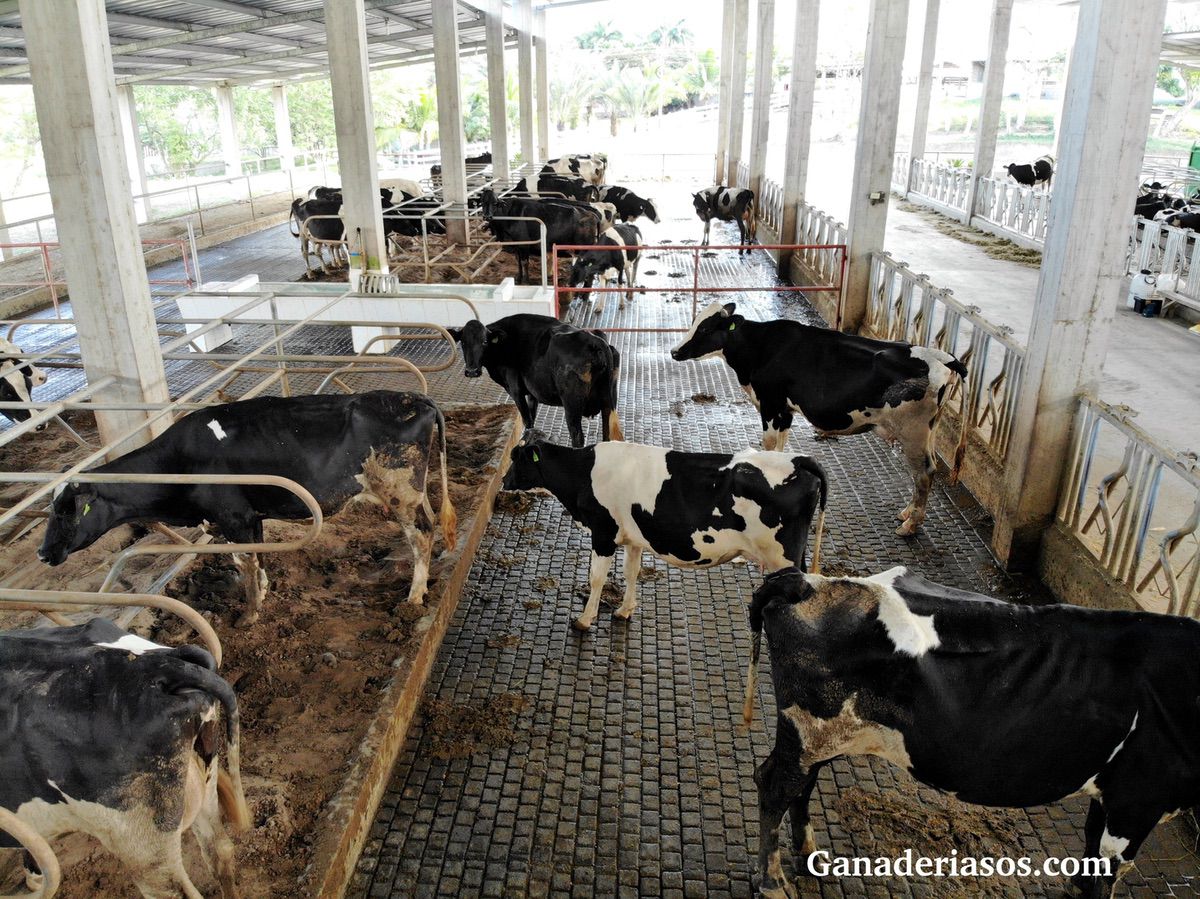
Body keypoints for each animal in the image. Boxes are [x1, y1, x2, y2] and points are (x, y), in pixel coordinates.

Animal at [41, 388, 453, 628]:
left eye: (66, 510)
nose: (43, 554)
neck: (179, 461)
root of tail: (413, 398)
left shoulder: (233, 519)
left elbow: (245, 564)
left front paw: (250, 614)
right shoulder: (251, 517)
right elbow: (259, 557)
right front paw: (266, 592)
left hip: (399, 491)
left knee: (421, 534)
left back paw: (414, 597)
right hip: (415, 492)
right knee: (432, 523)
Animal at [446, 314, 624, 446]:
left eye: (484, 342)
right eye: (463, 342)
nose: (472, 371)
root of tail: (594, 339)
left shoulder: (516, 390)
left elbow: (528, 420)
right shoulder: (533, 393)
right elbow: (532, 416)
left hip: (572, 403)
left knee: (577, 436)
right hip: (608, 402)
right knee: (607, 433)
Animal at [499, 439, 825, 628]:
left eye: (517, 458)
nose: (503, 480)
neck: (583, 472)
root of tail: (798, 460)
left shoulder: (603, 532)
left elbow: (596, 578)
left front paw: (584, 619)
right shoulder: (633, 537)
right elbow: (631, 572)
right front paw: (625, 610)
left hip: (782, 559)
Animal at [748, 568, 1200, 897]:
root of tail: (805, 583)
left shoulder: (1111, 793)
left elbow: (1089, 850)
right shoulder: (1136, 801)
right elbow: (1105, 869)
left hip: (820, 735)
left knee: (801, 786)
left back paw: (809, 856)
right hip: (810, 730)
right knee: (774, 786)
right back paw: (773, 884)